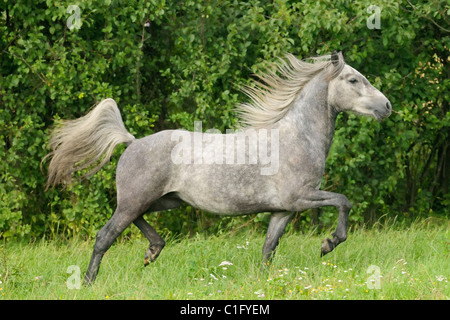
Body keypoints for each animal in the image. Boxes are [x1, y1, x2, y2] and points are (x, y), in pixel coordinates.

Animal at [44, 51, 392, 284]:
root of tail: (132, 142)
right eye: (353, 79)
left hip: (162, 201)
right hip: (135, 201)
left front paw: (263, 281)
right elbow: (344, 201)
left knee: (137, 223)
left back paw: (153, 250)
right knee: (105, 236)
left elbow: (269, 247)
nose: (387, 106)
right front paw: (328, 245)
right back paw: (89, 281)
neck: (298, 137)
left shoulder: (283, 209)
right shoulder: (301, 197)